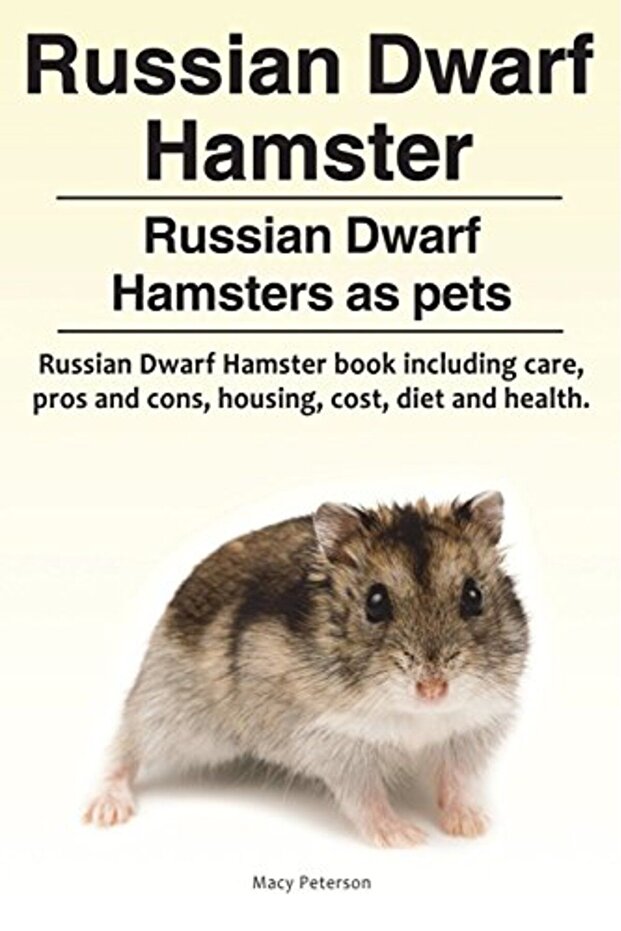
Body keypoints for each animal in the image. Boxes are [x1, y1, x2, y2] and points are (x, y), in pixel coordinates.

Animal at [83, 491, 529, 846]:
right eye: (375, 602)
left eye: (473, 596)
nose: (433, 690)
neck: (417, 718)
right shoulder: (338, 742)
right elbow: (365, 797)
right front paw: (404, 837)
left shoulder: (468, 732)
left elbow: (457, 781)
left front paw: (471, 827)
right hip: (175, 713)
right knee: (125, 744)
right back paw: (104, 812)